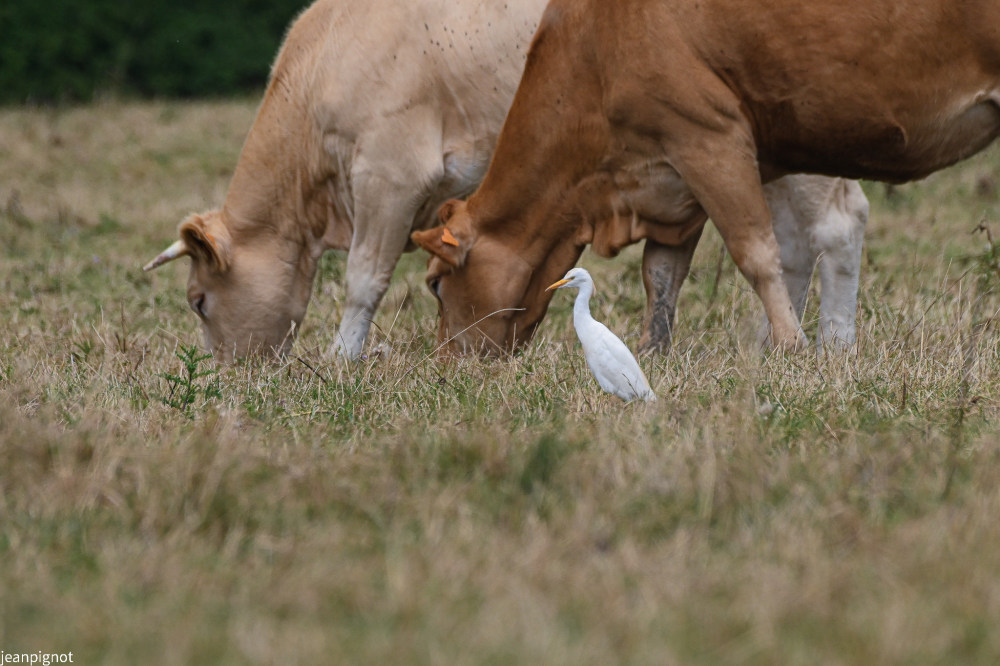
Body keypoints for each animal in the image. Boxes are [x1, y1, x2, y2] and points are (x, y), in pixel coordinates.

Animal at [141, 0, 868, 358]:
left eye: (198, 301)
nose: (230, 383)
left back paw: (827, 347)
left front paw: (343, 362)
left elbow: (364, 279)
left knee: (834, 227)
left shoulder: (390, 171)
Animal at [412, 0, 992, 356]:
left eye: (436, 283)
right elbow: (661, 274)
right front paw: (651, 352)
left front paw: (790, 346)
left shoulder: (710, 137)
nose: (445, 364)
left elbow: (756, 252)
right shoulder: (671, 177)